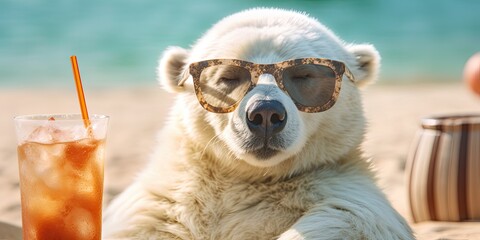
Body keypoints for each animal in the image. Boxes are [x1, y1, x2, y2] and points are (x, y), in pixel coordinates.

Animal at [103, 7, 414, 240]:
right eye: (228, 76)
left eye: (304, 75)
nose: (265, 114)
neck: (251, 180)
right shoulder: (161, 205)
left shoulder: (340, 185)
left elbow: (351, 218)